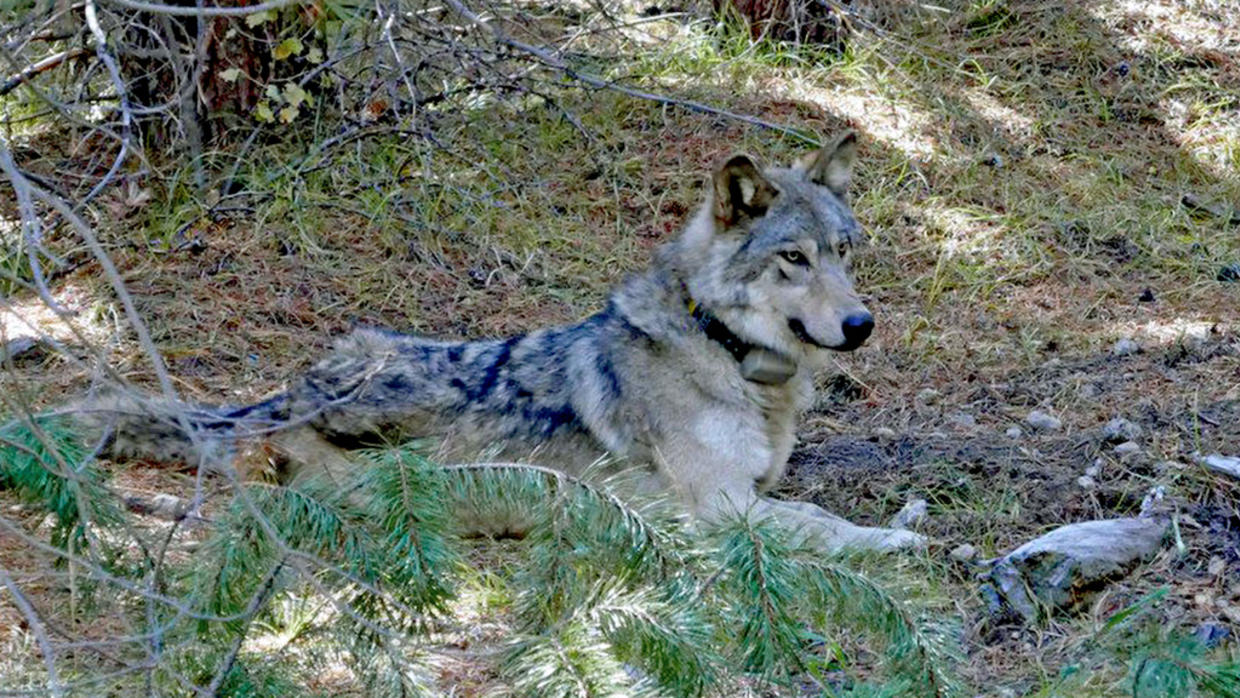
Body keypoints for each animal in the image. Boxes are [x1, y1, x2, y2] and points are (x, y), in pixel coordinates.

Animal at [77, 132, 927, 552]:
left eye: (843, 252)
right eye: (794, 259)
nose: (861, 325)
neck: (722, 350)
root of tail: (284, 396)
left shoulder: (751, 489)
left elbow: (810, 504)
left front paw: (905, 515)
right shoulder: (718, 508)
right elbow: (821, 524)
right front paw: (891, 540)